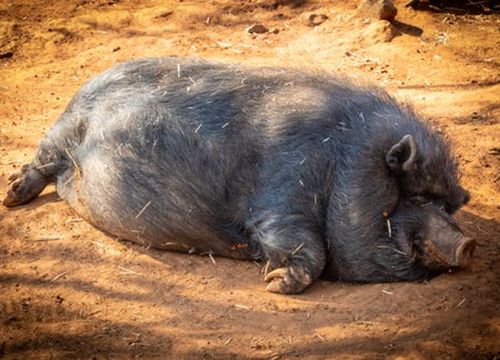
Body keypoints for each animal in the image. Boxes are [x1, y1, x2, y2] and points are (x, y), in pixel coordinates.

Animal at [2, 56, 472, 292]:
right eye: (414, 195)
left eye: (447, 204)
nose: (468, 244)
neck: (341, 162)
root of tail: (86, 84)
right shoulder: (282, 193)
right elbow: (305, 245)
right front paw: (274, 283)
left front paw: (273, 279)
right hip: (62, 130)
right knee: (41, 160)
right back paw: (12, 195)